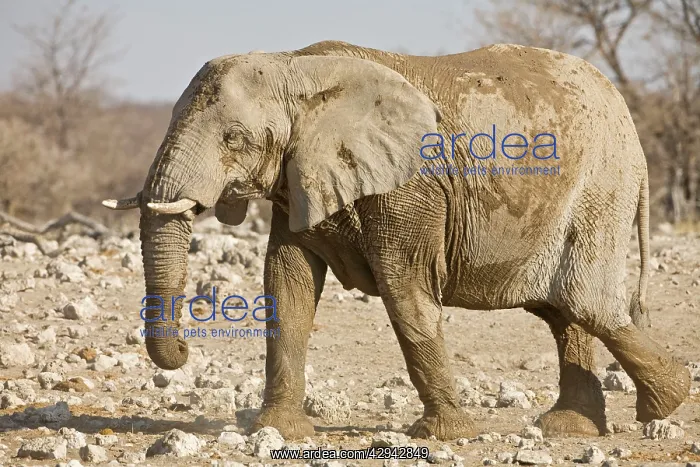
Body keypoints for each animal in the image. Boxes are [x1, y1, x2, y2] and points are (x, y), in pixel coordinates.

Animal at [103, 40, 690, 441]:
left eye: (234, 138)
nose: (184, 351)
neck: (296, 66)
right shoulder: (299, 177)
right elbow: (288, 285)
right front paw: (274, 432)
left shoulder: (409, 186)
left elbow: (405, 288)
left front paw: (445, 436)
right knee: (562, 309)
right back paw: (570, 428)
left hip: (600, 186)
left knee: (583, 298)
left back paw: (668, 402)